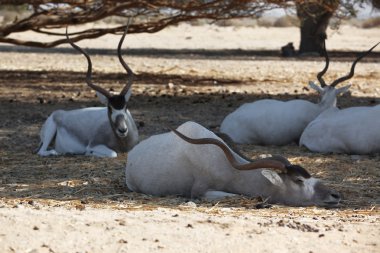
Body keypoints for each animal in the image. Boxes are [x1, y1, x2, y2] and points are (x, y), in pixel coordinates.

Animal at [36, 24, 138, 158]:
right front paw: (90, 153)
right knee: (42, 151)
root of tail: (58, 113)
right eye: (110, 108)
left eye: (125, 106)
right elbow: (112, 153)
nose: (122, 130)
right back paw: (56, 152)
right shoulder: (94, 144)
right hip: (50, 131)